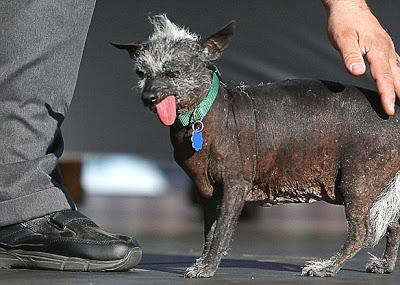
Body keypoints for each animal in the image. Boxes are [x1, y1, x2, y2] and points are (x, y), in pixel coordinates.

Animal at [111, 14, 400, 276]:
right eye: (141, 73)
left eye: (173, 72)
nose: (148, 96)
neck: (205, 114)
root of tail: (395, 113)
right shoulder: (208, 193)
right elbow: (209, 231)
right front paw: (203, 261)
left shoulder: (235, 186)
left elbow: (221, 231)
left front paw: (207, 267)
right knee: (394, 223)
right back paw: (385, 265)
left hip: (357, 182)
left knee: (361, 231)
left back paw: (328, 267)